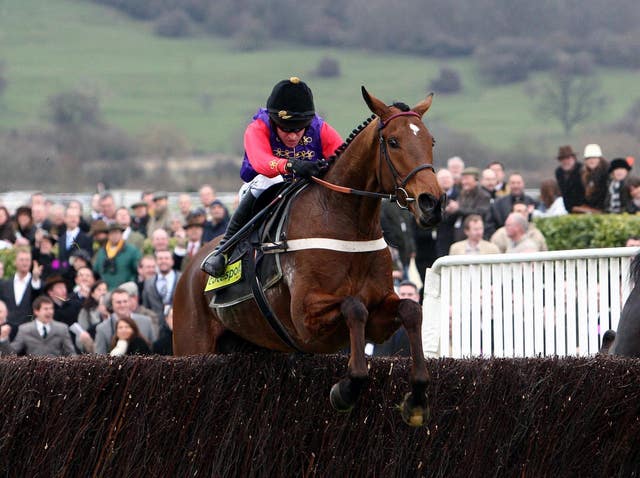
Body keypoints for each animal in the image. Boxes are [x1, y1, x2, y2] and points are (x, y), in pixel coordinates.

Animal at [174, 87, 444, 426]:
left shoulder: (381, 315)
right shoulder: (305, 318)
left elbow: (411, 309)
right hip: (191, 344)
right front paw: (346, 388)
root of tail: (188, 271)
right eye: (393, 141)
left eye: (431, 141)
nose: (432, 203)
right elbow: (354, 307)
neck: (347, 223)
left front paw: (417, 398)